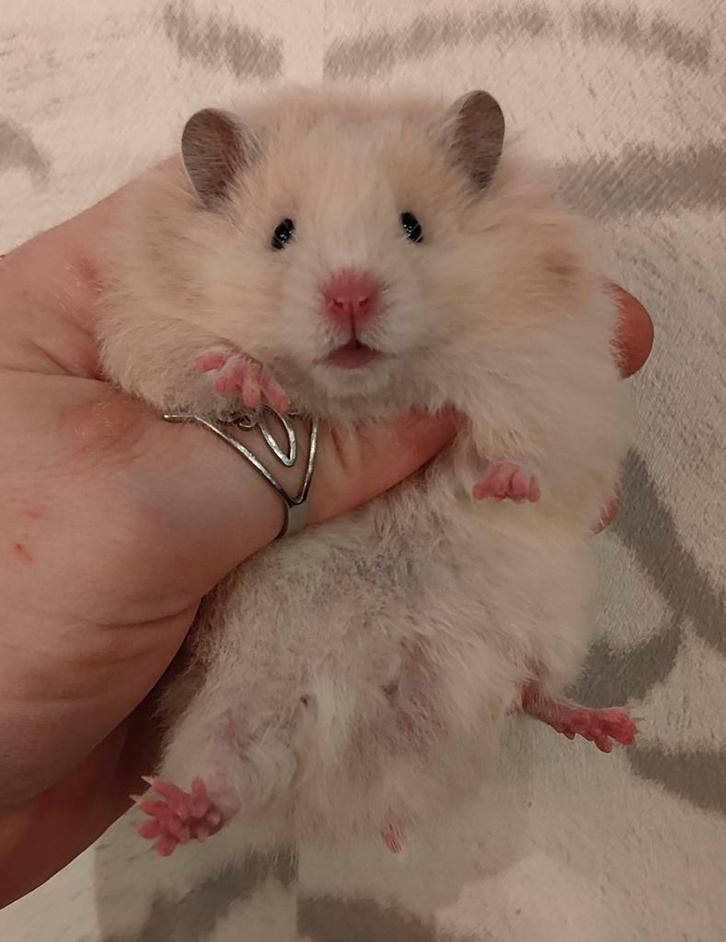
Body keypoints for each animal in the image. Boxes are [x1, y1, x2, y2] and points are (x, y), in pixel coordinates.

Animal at [97, 86, 637, 859]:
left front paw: (502, 483)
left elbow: (522, 439)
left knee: (533, 692)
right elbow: (196, 369)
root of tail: (384, 773)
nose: (351, 296)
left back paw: (611, 727)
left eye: (413, 226)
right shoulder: (147, 327)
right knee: (229, 776)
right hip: (237, 705)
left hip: (549, 629)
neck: (368, 393)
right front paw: (248, 376)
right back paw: (172, 818)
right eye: (281, 234)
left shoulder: (556, 370)